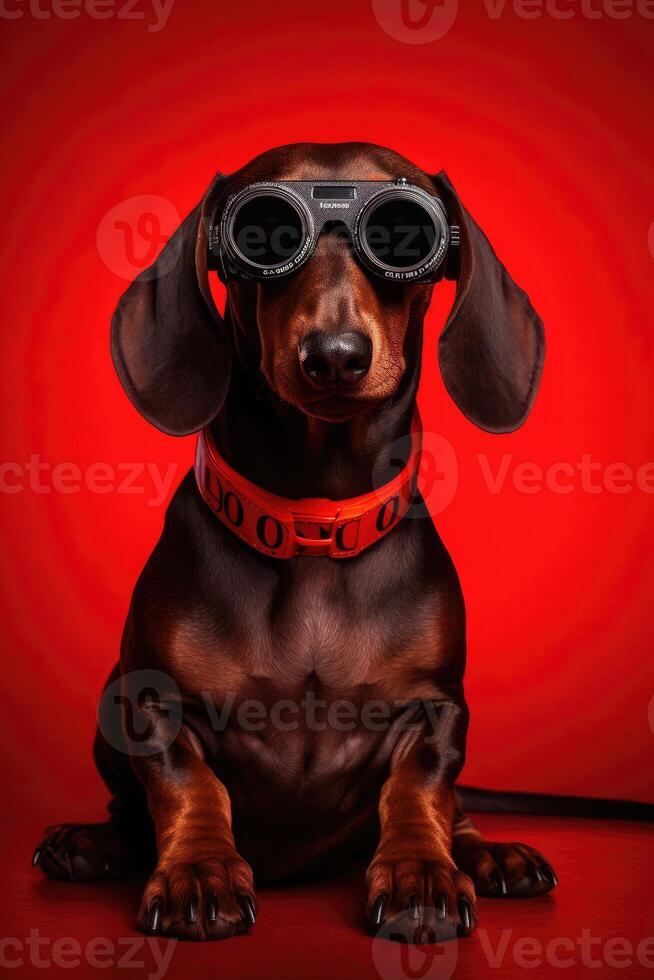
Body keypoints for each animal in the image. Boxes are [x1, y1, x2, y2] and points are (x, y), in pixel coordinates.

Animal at [29, 144, 552, 940]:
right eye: (263, 235)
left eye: (406, 237)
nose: (334, 355)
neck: (314, 523)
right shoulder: (151, 701)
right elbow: (187, 784)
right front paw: (198, 871)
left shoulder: (437, 709)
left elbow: (420, 789)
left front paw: (420, 873)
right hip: (106, 704)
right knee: (128, 810)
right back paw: (92, 844)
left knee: (460, 811)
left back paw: (490, 853)